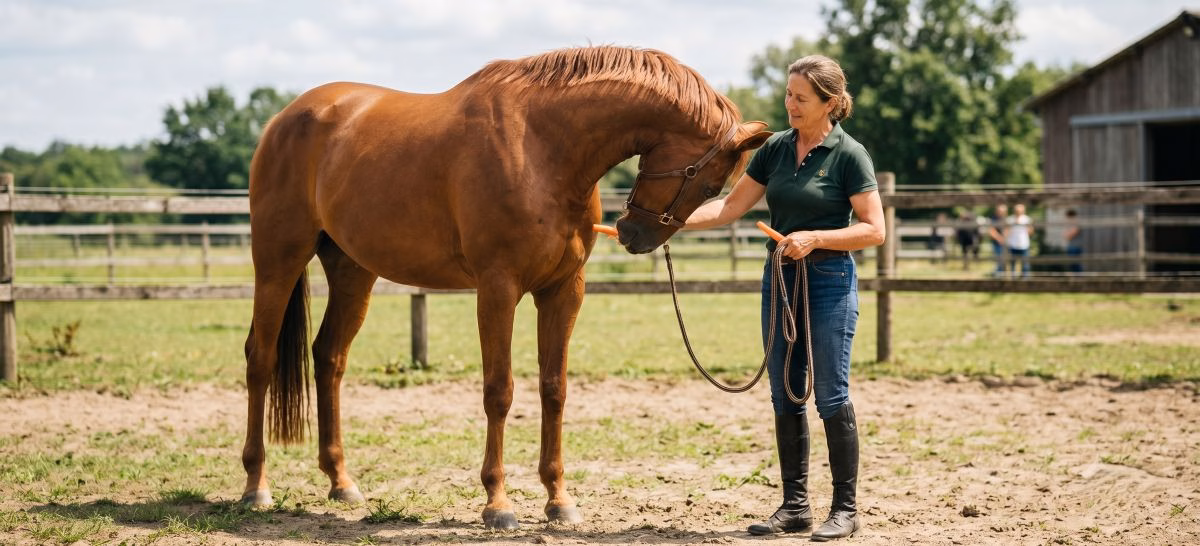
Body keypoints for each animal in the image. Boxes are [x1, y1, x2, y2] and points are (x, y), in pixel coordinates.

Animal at [240, 45, 771, 529]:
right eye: (709, 184)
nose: (633, 234)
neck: (542, 147)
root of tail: (284, 119)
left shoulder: (564, 290)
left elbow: (554, 389)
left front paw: (558, 499)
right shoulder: (497, 288)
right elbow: (499, 391)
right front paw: (497, 503)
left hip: (352, 271)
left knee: (329, 358)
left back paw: (341, 482)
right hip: (278, 259)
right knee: (259, 359)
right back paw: (255, 486)